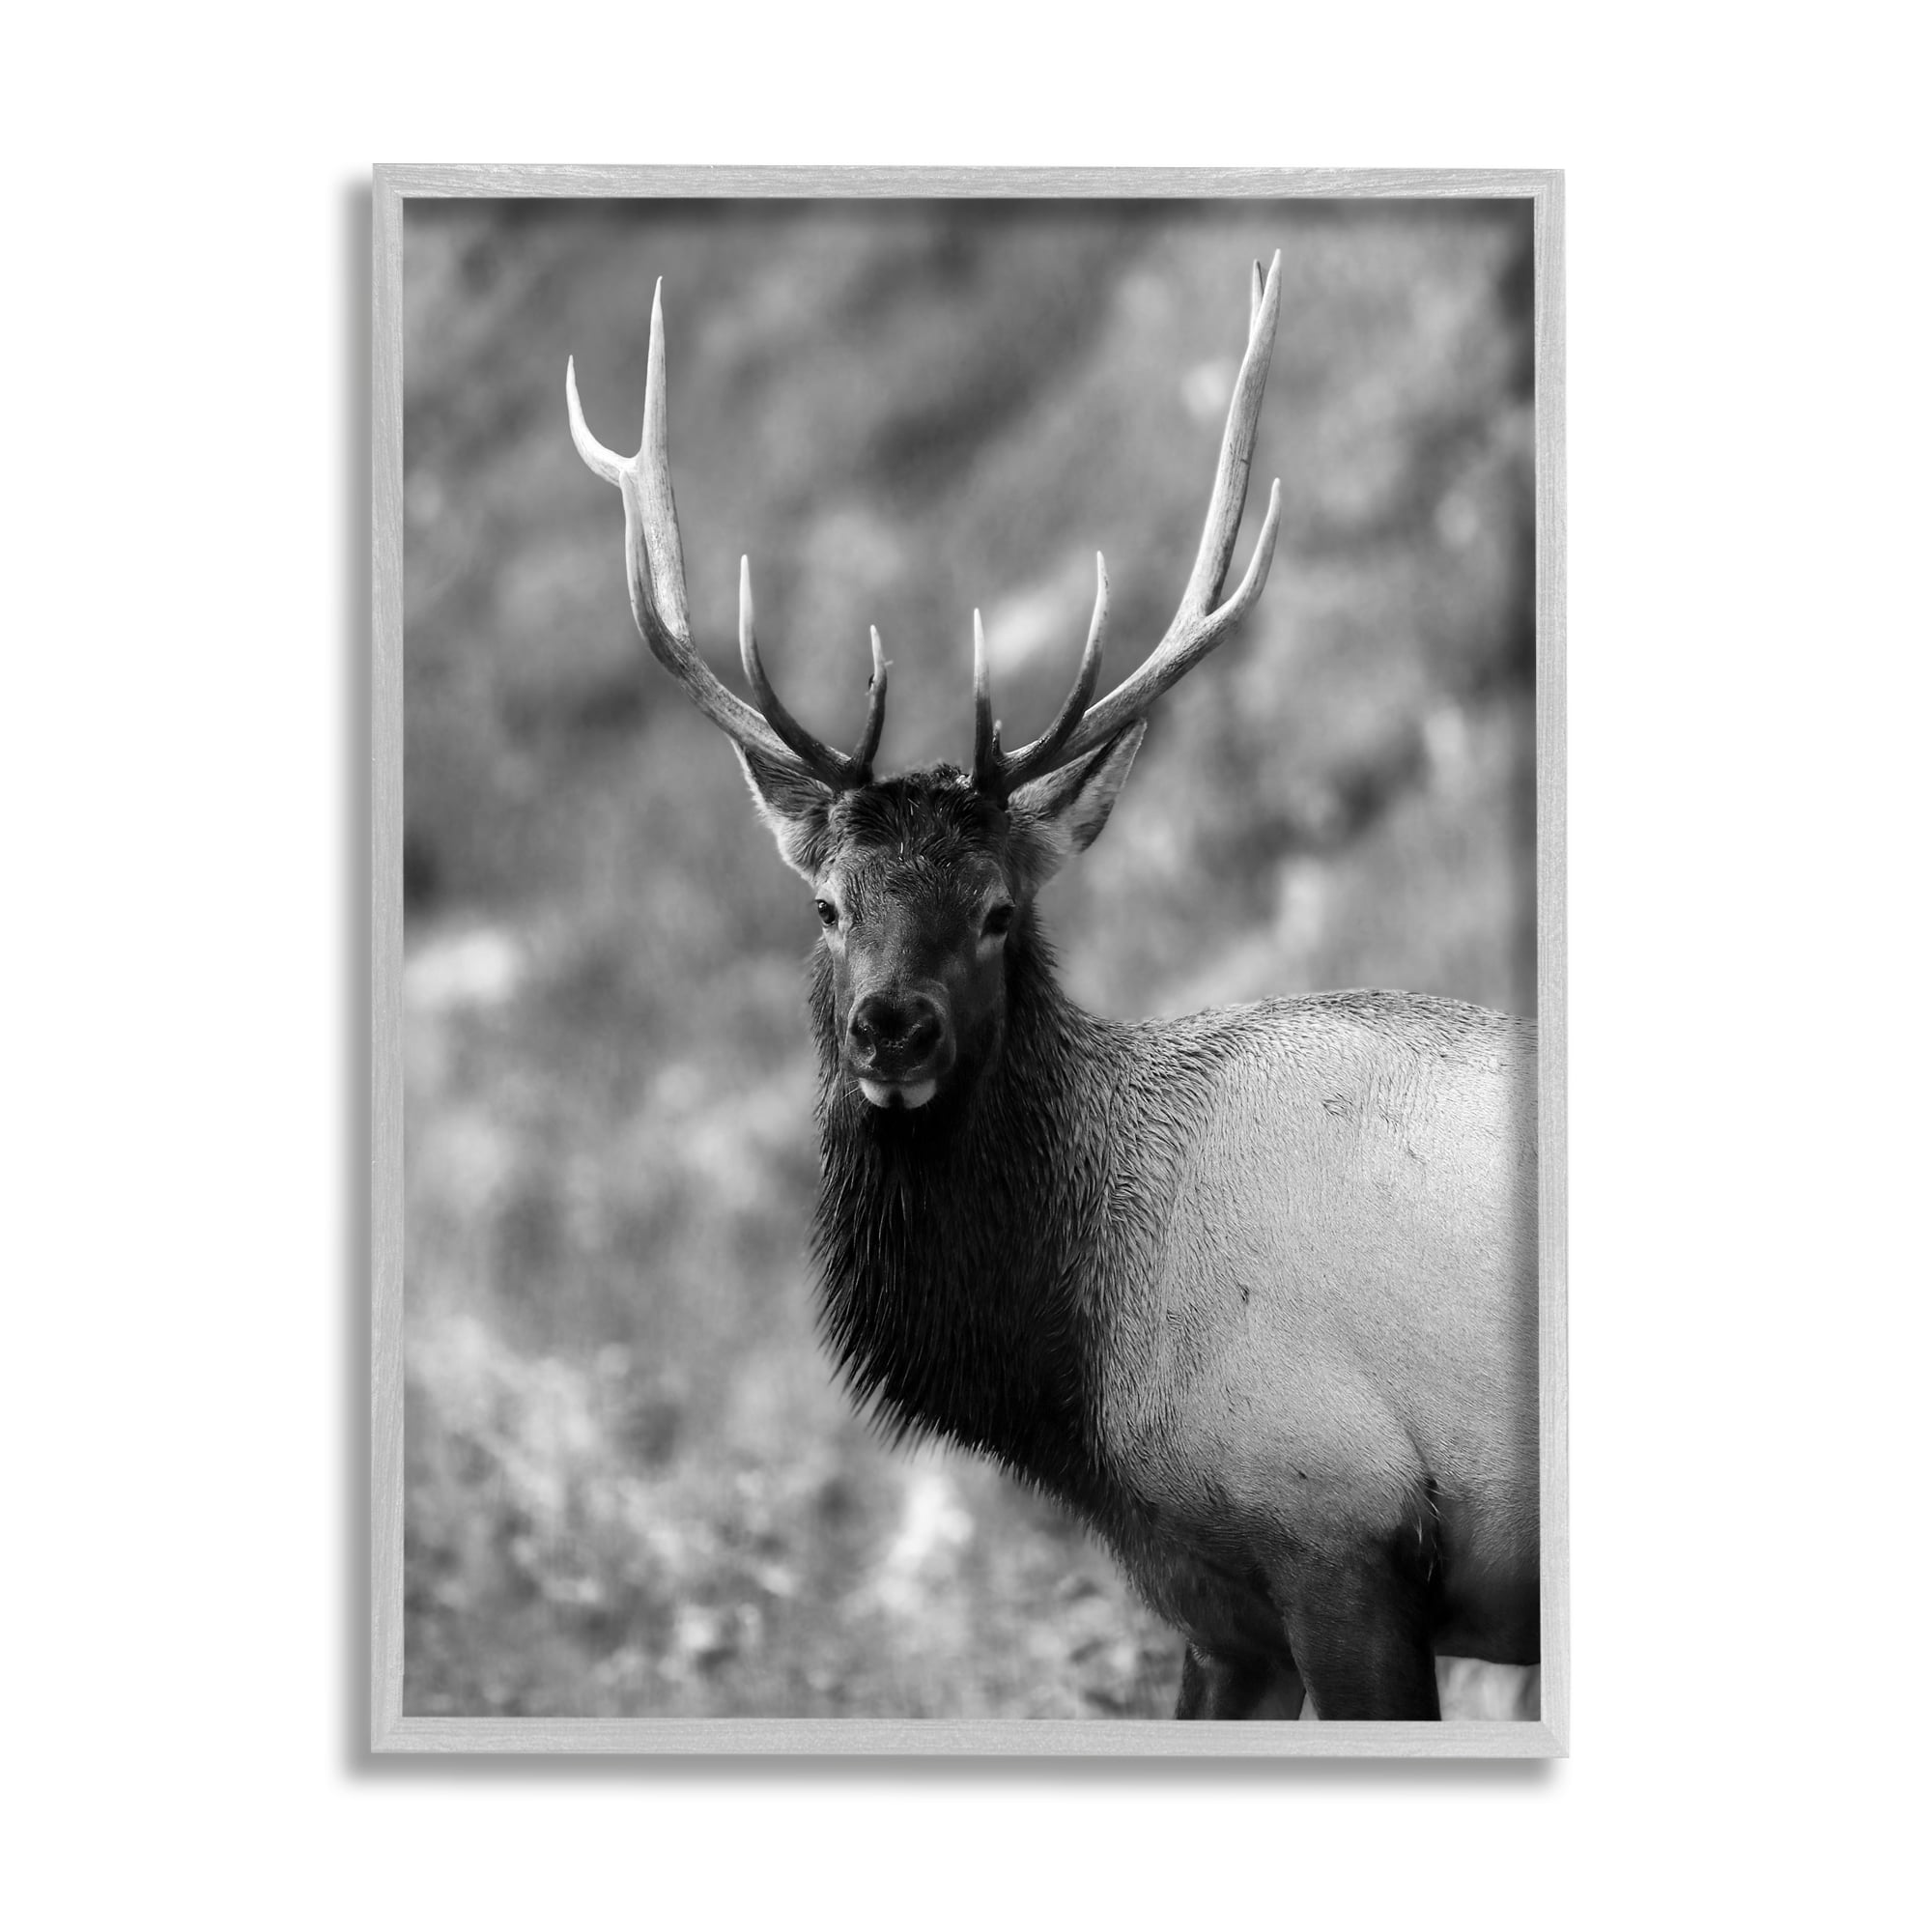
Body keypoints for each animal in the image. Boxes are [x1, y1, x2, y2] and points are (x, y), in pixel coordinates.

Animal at [563, 252, 1539, 1721]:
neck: (1078, 1377)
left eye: (999, 910)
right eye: (828, 905)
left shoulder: (1340, 1533)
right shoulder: (1214, 1601)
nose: (890, 1028)